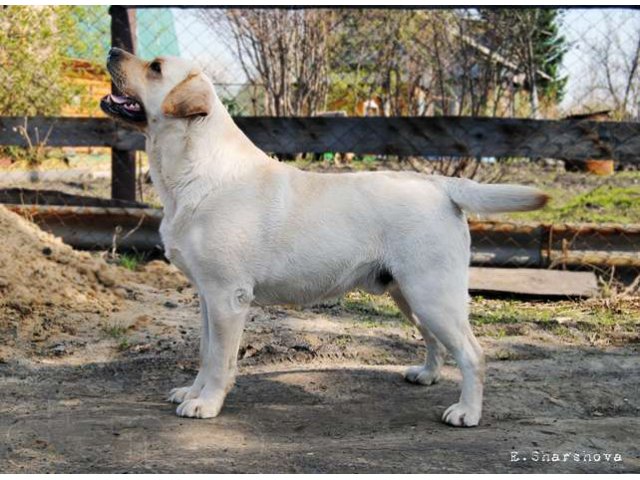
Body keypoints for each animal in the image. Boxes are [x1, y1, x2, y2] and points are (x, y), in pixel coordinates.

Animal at [102, 47, 548, 426]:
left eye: (155, 67)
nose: (111, 51)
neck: (194, 171)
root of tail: (439, 183)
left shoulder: (227, 297)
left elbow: (218, 360)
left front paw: (207, 403)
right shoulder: (207, 298)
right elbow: (204, 352)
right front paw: (192, 392)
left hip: (433, 294)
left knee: (473, 354)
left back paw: (466, 412)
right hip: (409, 294)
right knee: (436, 341)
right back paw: (426, 374)